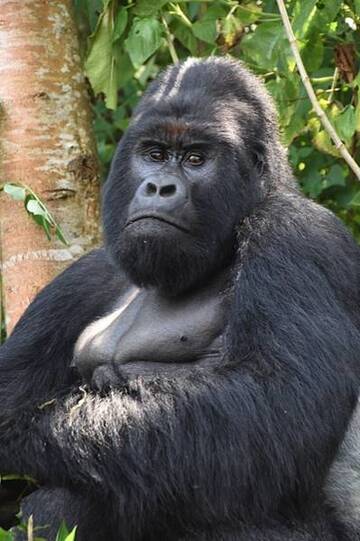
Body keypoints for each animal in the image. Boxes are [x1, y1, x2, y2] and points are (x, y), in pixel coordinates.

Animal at [0, 56, 360, 540]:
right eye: (154, 154)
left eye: (195, 158)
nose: (159, 187)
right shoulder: (82, 278)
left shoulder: (299, 233)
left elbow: (275, 404)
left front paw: (23, 437)